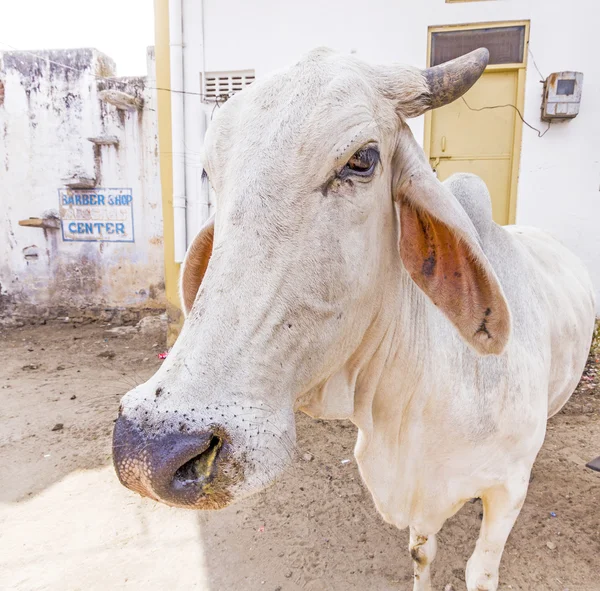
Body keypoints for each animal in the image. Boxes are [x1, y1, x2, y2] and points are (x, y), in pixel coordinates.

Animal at [113, 48, 596, 588]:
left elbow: (479, 570)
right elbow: (422, 555)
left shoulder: (506, 490)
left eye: (362, 159)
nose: (146, 449)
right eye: (211, 175)